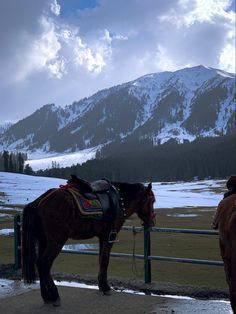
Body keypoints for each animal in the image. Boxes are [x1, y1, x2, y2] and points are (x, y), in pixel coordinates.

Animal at [21, 179, 156, 306]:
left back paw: (46, 297)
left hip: (43, 240)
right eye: (152, 200)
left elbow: (101, 259)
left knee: (39, 263)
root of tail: (39, 201)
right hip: (56, 241)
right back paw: (54, 296)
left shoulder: (102, 237)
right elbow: (105, 260)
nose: (152, 222)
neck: (120, 200)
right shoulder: (109, 237)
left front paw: (101, 285)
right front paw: (105, 287)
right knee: (44, 263)